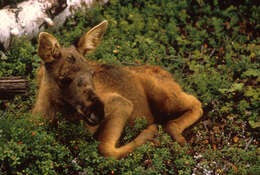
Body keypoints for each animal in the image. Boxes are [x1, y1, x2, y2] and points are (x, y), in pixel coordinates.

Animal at [33, 19, 203, 159]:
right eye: (64, 78)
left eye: (92, 73)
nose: (98, 111)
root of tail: (168, 75)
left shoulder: (121, 103)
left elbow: (106, 149)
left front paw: (149, 133)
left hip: (164, 96)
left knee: (195, 103)